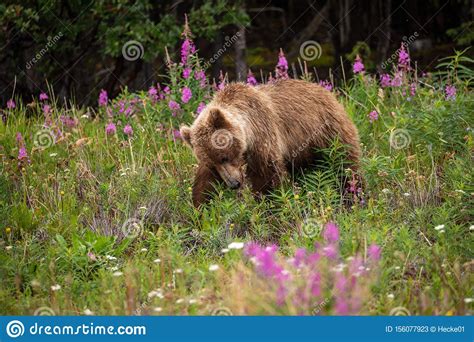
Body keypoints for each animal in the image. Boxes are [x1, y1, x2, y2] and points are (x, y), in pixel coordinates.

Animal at [180, 79, 362, 207]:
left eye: (224, 157)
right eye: (214, 164)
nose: (233, 184)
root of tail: (328, 92)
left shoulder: (263, 136)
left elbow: (268, 176)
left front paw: (272, 204)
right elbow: (205, 183)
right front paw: (201, 209)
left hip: (327, 132)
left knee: (345, 164)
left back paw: (354, 195)